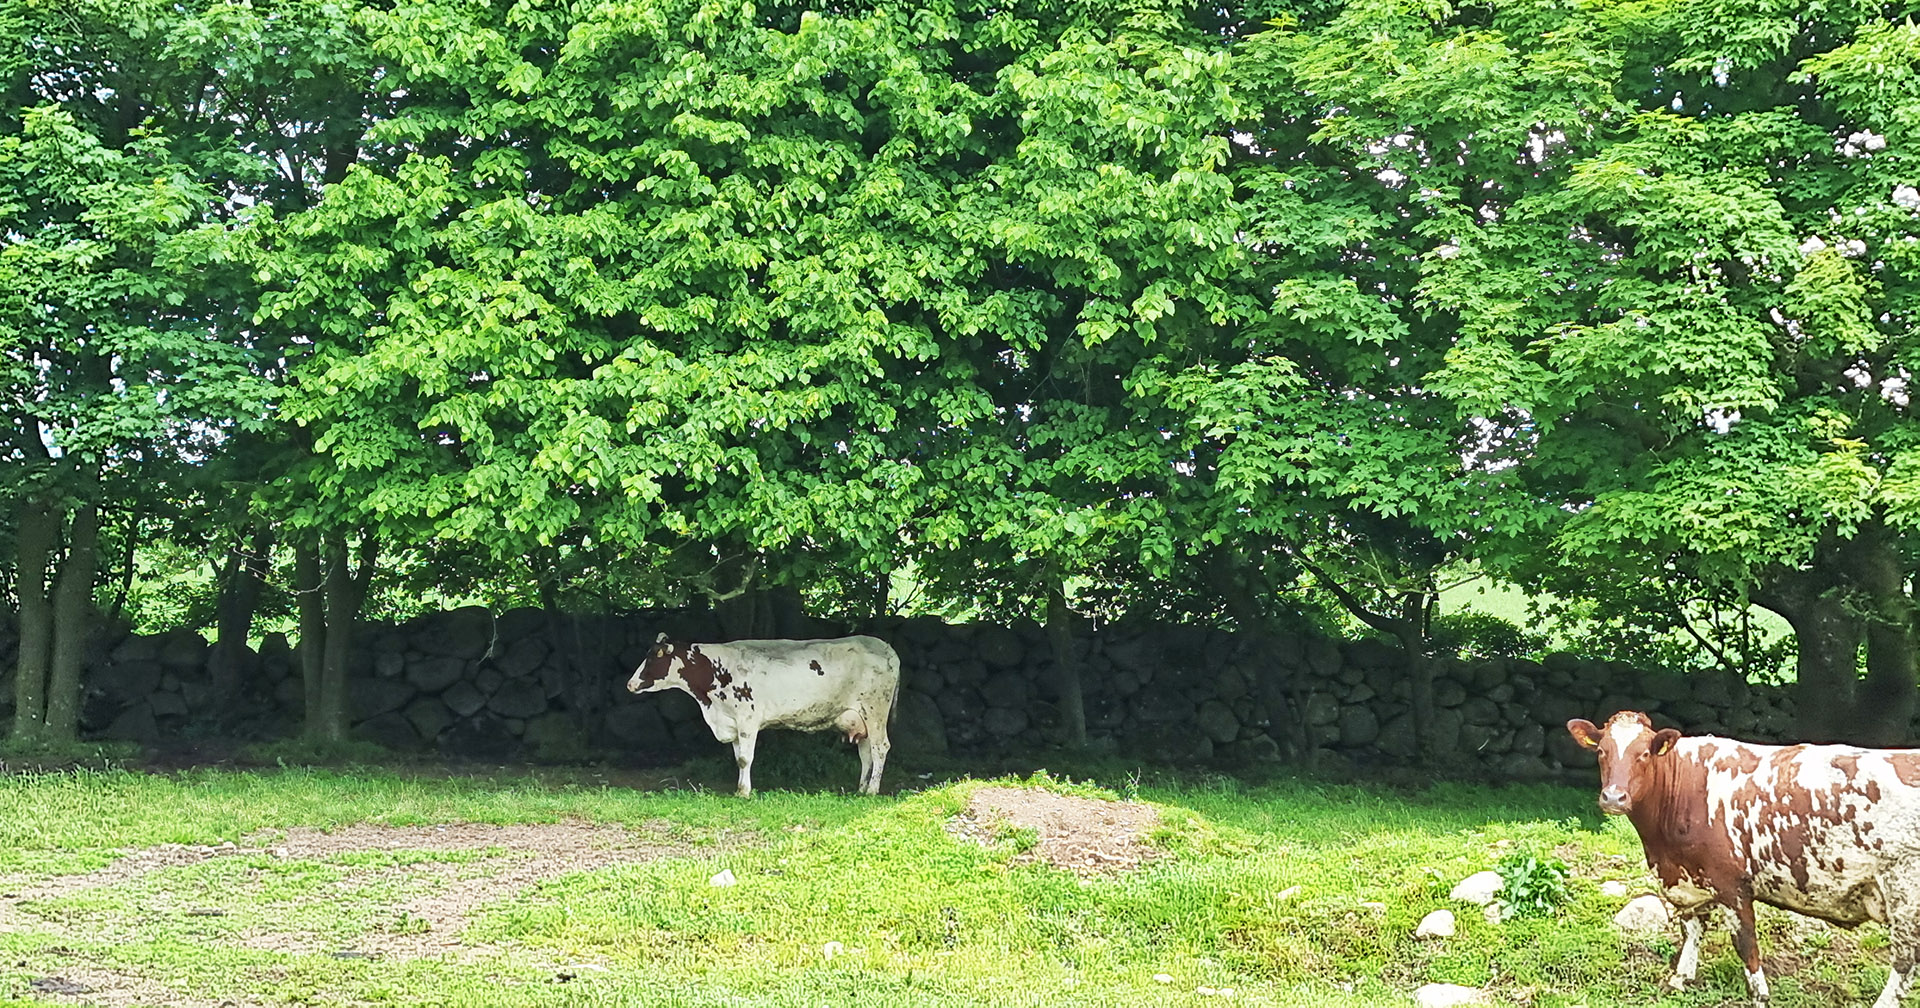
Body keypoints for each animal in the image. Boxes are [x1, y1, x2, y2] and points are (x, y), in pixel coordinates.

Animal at [625, 633, 902, 798]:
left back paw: (872, 790)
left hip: (876, 710)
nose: (630, 684)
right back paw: (861, 788)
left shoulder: (747, 719)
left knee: (880, 748)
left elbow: (745, 759)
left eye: (654, 658)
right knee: (866, 753)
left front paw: (745, 792)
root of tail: (886, 647)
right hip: (860, 718)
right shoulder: (732, 723)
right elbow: (738, 759)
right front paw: (740, 789)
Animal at [1566, 710, 1920, 998]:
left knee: (1903, 964)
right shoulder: (1689, 879)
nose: (1614, 797)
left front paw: (1760, 994)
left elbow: (1746, 943)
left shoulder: (1731, 883)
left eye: (1643, 754)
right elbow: (1692, 928)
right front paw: (1680, 978)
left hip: (1905, 895)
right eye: (1601, 752)